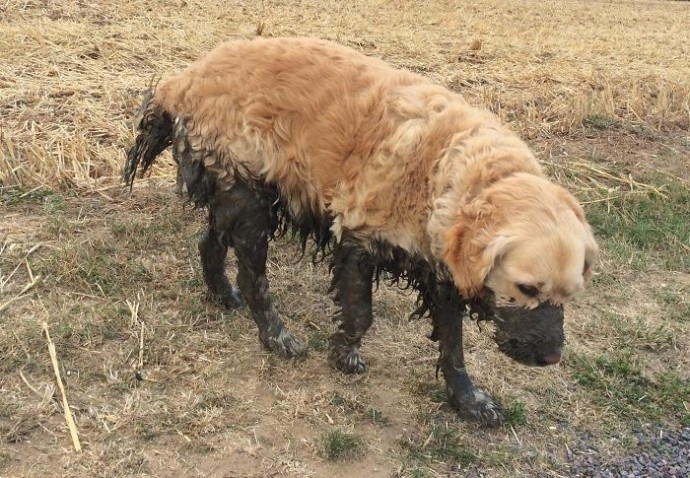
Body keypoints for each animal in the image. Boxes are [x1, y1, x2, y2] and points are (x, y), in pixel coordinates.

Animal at [123, 37, 596, 426]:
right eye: (527, 288)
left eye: (571, 294)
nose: (552, 357)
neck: (452, 170)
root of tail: (185, 78)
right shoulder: (359, 240)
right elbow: (361, 313)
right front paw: (344, 356)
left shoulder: (439, 269)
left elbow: (453, 345)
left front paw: (467, 399)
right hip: (251, 200)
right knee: (252, 276)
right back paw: (276, 336)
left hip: (234, 196)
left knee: (209, 243)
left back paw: (222, 294)